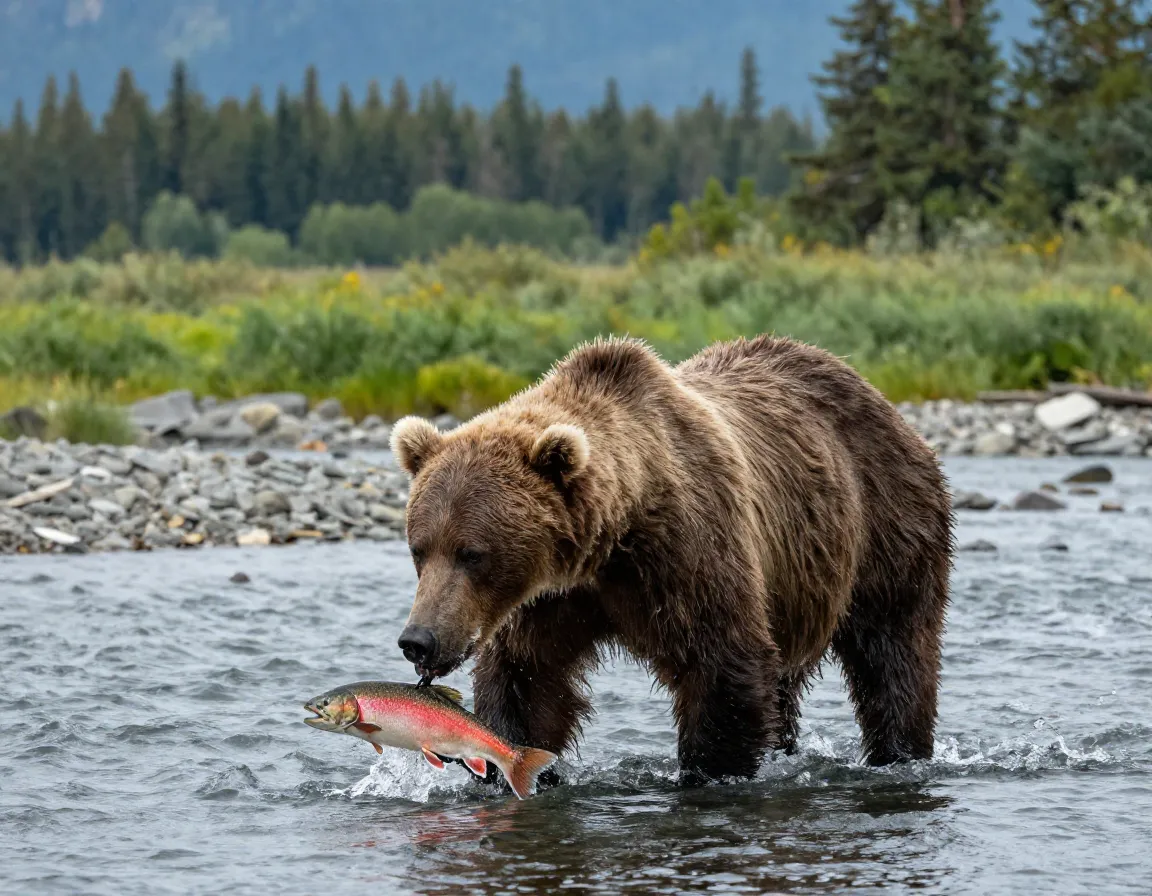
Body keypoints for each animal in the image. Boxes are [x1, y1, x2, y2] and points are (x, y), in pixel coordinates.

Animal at [389, 335, 953, 784]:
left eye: (472, 553)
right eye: (419, 548)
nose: (419, 640)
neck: (611, 542)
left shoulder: (687, 555)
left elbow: (722, 663)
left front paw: (706, 771)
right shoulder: (550, 600)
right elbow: (526, 679)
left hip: (888, 526)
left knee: (895, 651)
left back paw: (899, 752)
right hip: (792, 585)